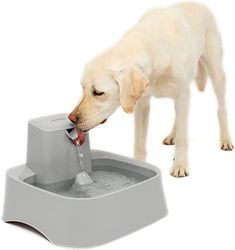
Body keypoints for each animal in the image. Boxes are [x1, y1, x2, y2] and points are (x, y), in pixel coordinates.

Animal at [68, 2, 233, 178]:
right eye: (82, 88)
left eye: (98, 92)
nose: (71, 118)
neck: (151, 49)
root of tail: (197, 3)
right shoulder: (141, 103)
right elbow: (139, 141)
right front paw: (138, 164)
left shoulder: (182, 94)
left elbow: (183, 136)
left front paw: (180, 165)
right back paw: (172, 135)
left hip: (216, 71)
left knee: (220, 109)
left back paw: (225, 139)